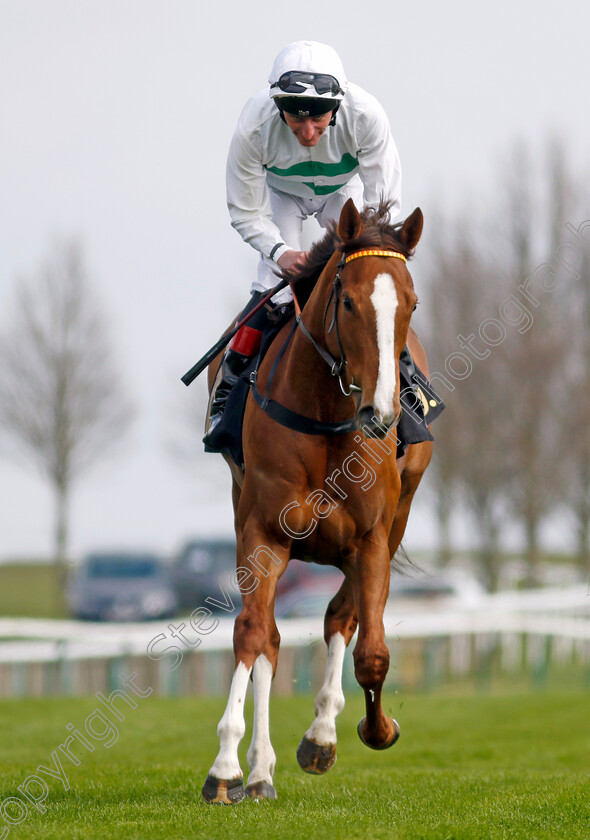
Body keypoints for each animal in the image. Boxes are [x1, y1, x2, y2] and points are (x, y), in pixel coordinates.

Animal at [204, 200, 434, 804]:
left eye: (411, 303)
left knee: (341, 617)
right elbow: (254, 634)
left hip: (397, 518)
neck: (328, 414)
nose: (382, 411)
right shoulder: (263, 530)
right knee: (270, 636)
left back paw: (320, 734)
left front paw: (366, 730)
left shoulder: (374, 537)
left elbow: (370, 649)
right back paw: (259, 769)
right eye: (348, 301)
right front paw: (227, 767)